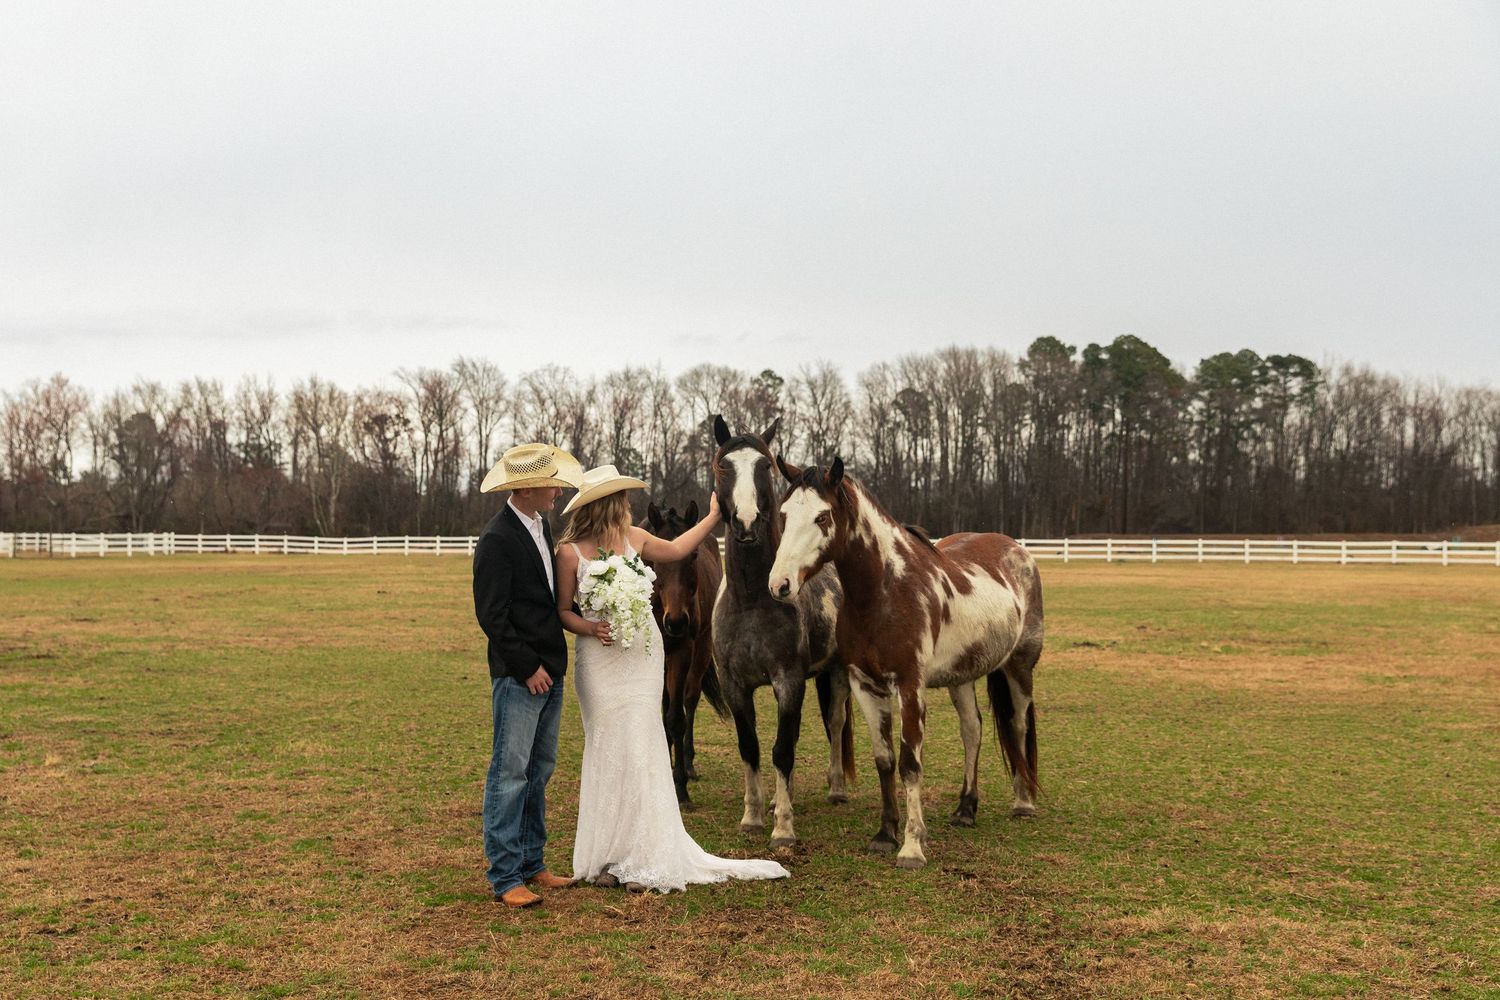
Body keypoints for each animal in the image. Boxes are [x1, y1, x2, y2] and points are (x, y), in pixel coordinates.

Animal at [643, 500, 727, 810]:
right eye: (655, 559)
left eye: (692, 555)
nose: (677, 622)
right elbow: (663, 713)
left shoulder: (681, 652)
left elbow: (676, 718)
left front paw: (680, 788)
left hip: (700, 649)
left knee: (689, 700)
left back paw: (688, 765)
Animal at [710, 415, 856, 848]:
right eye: (724, 466)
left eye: (764, 465)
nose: (745, 523)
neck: (751, 600)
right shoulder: (734, 686)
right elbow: (751, 747)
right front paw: (753, 816)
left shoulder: (788, 681)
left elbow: (782, 751)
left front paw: (784, 829)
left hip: (836, 674)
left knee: (835, 724)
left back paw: (836, 789)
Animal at [768, 456, 1043, 869]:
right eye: (784, 514)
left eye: (822, 516)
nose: (779, 584)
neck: (885, 592)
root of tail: (1016, 549)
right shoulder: (865, 685)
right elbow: (885, 759)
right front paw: (885, 834)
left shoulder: (911, 687)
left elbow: (910, 763)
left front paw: (912, 847)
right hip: (961, 677)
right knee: (972, 730)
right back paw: (966, 809)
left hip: (1019, 667)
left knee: (1019, 724)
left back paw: (1023, 801)